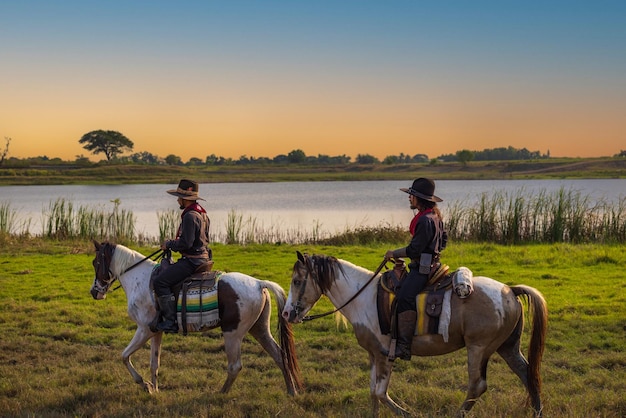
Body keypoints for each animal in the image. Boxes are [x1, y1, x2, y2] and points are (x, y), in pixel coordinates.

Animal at [89, 242, 302, 396]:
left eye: (95, 262)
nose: (94, 292)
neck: (139, 279)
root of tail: (259, 283)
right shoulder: (156, 332)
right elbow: (154, 363)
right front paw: (154, 389)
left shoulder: (144, 330)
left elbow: (124, 356)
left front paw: (144, 385)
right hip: (259, 329)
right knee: (280, 356)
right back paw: (291, 391)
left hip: (232, 333)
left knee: (235, 366)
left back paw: (220, 393)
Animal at [280, 253, 544, 416]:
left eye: (296, 281)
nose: (286, 313)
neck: (363, 298)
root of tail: (510, 290)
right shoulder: (373, 354)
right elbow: (373, 393)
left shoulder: (385, 354)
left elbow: (380, 393)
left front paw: (408, 413)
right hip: (507, 346)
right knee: (527, 374)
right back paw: (537, 411)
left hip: (478, 348)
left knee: (477, 386)